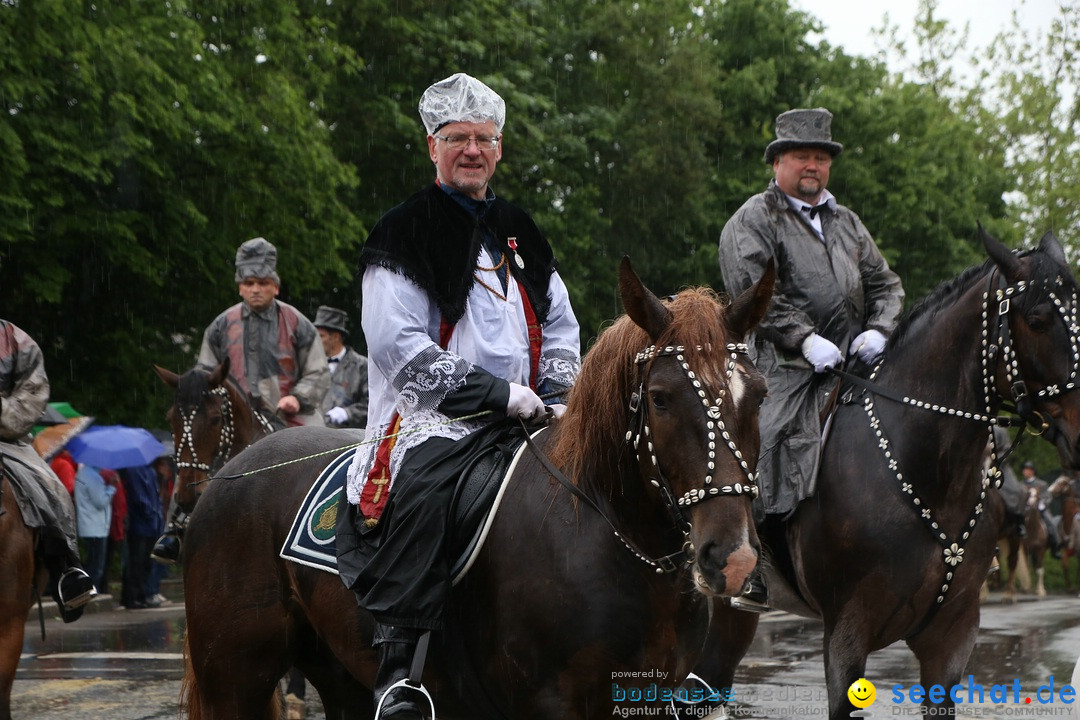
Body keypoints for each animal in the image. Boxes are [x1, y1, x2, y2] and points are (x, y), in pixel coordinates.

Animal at [181, 260, 773, 720]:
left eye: (760, 395)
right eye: (661, 398)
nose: (733, 558)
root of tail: (225, 477)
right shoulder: (550, 703)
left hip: (337, 672)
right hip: (233, 676)